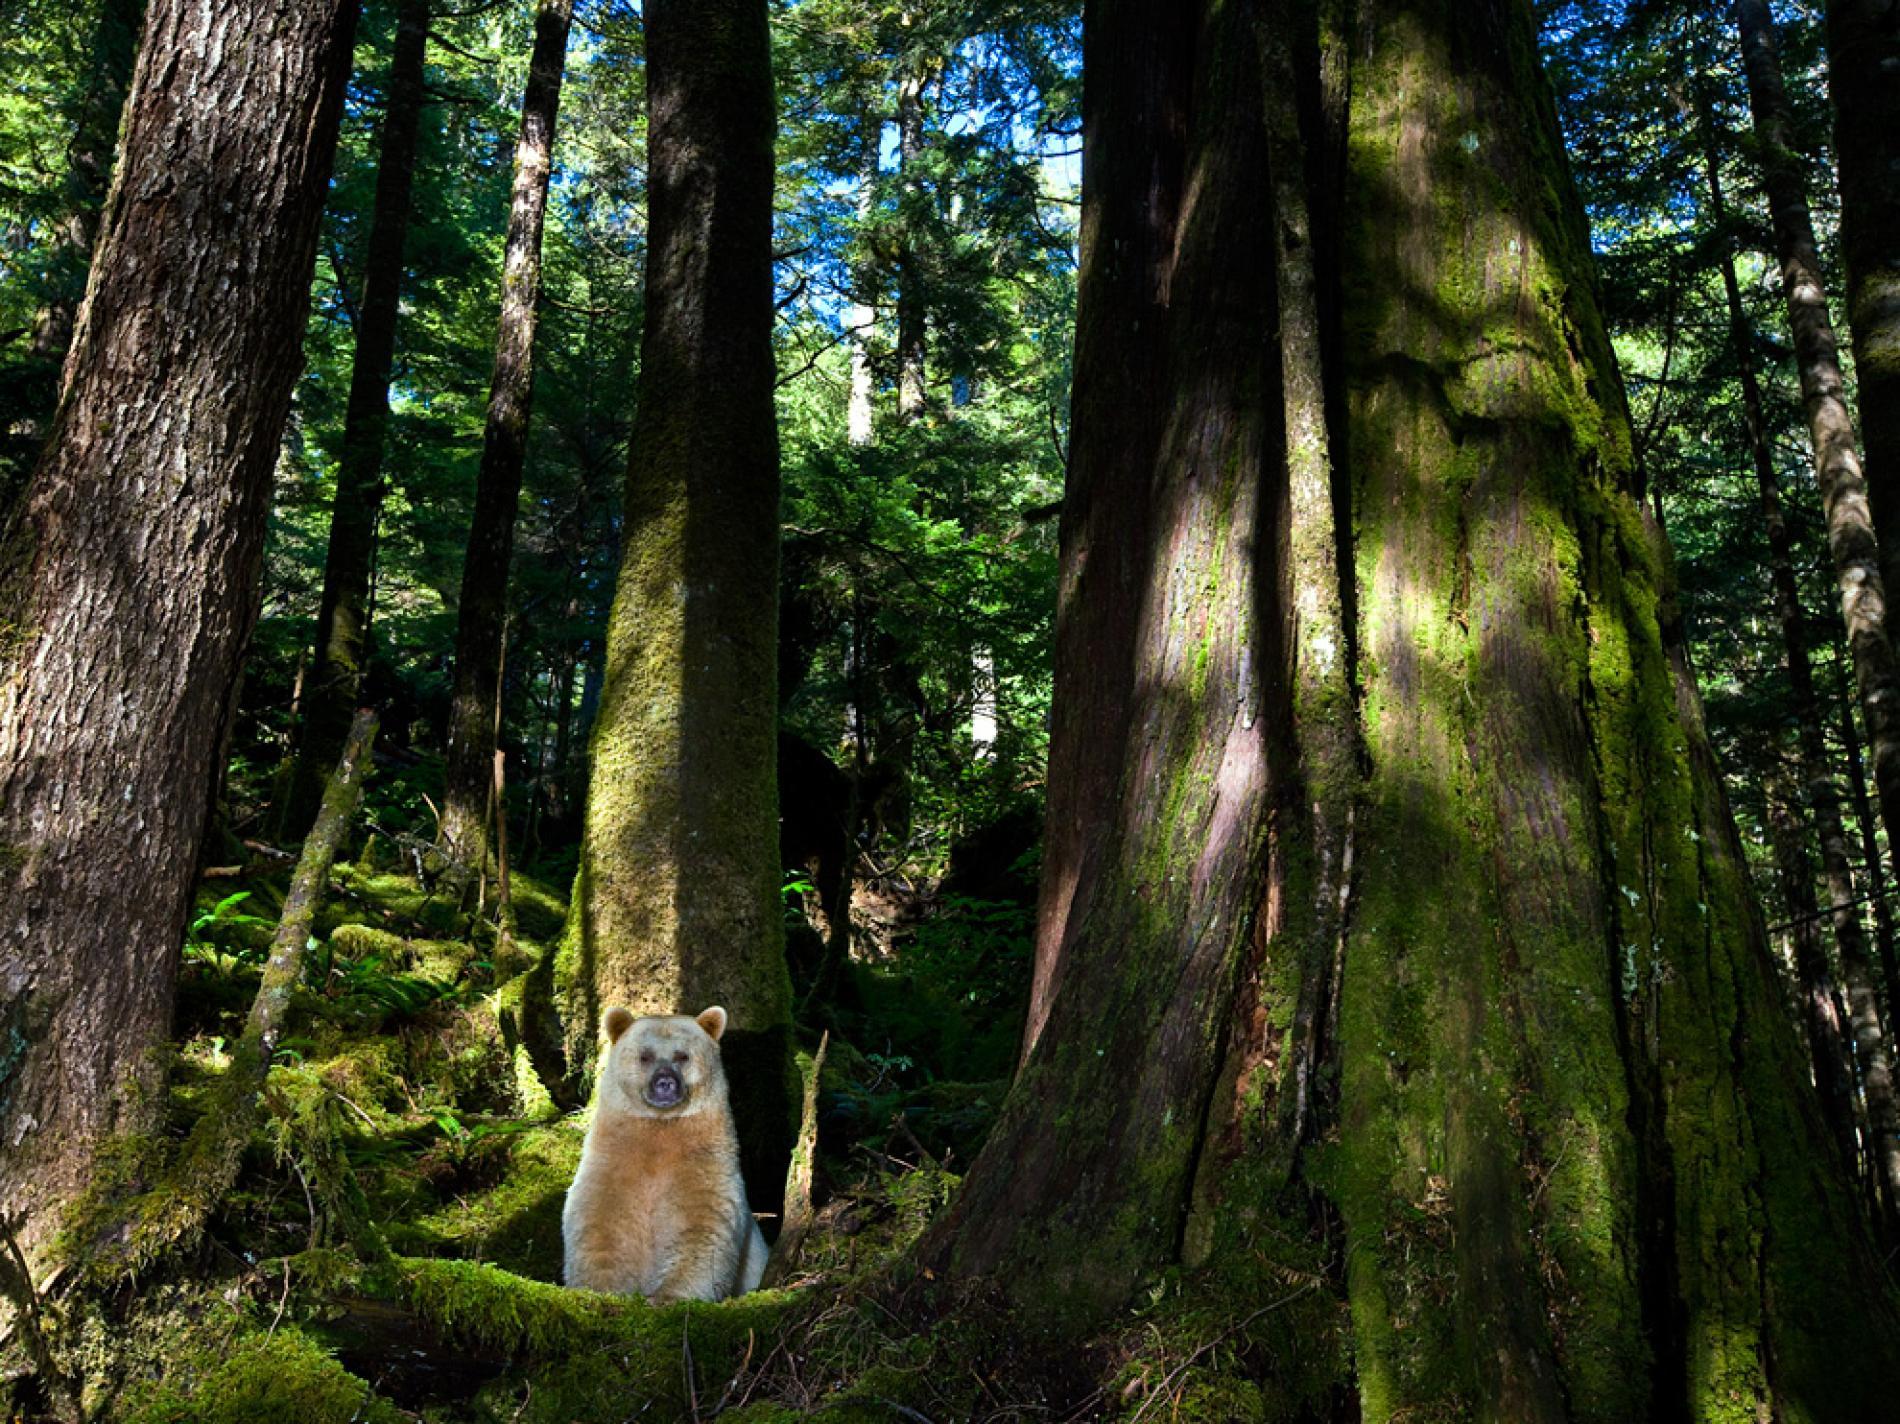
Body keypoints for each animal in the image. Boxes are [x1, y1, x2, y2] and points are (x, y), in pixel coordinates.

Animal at [562, 1004, 768, 1302]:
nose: (665, 1083)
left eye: (682, 1056)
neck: (660, 1128)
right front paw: (603, 1289)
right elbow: (598, 1226)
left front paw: (668, 1296)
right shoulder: (611, 1165)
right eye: (645, 1056)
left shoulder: (705, 1166)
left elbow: (704, 1229)